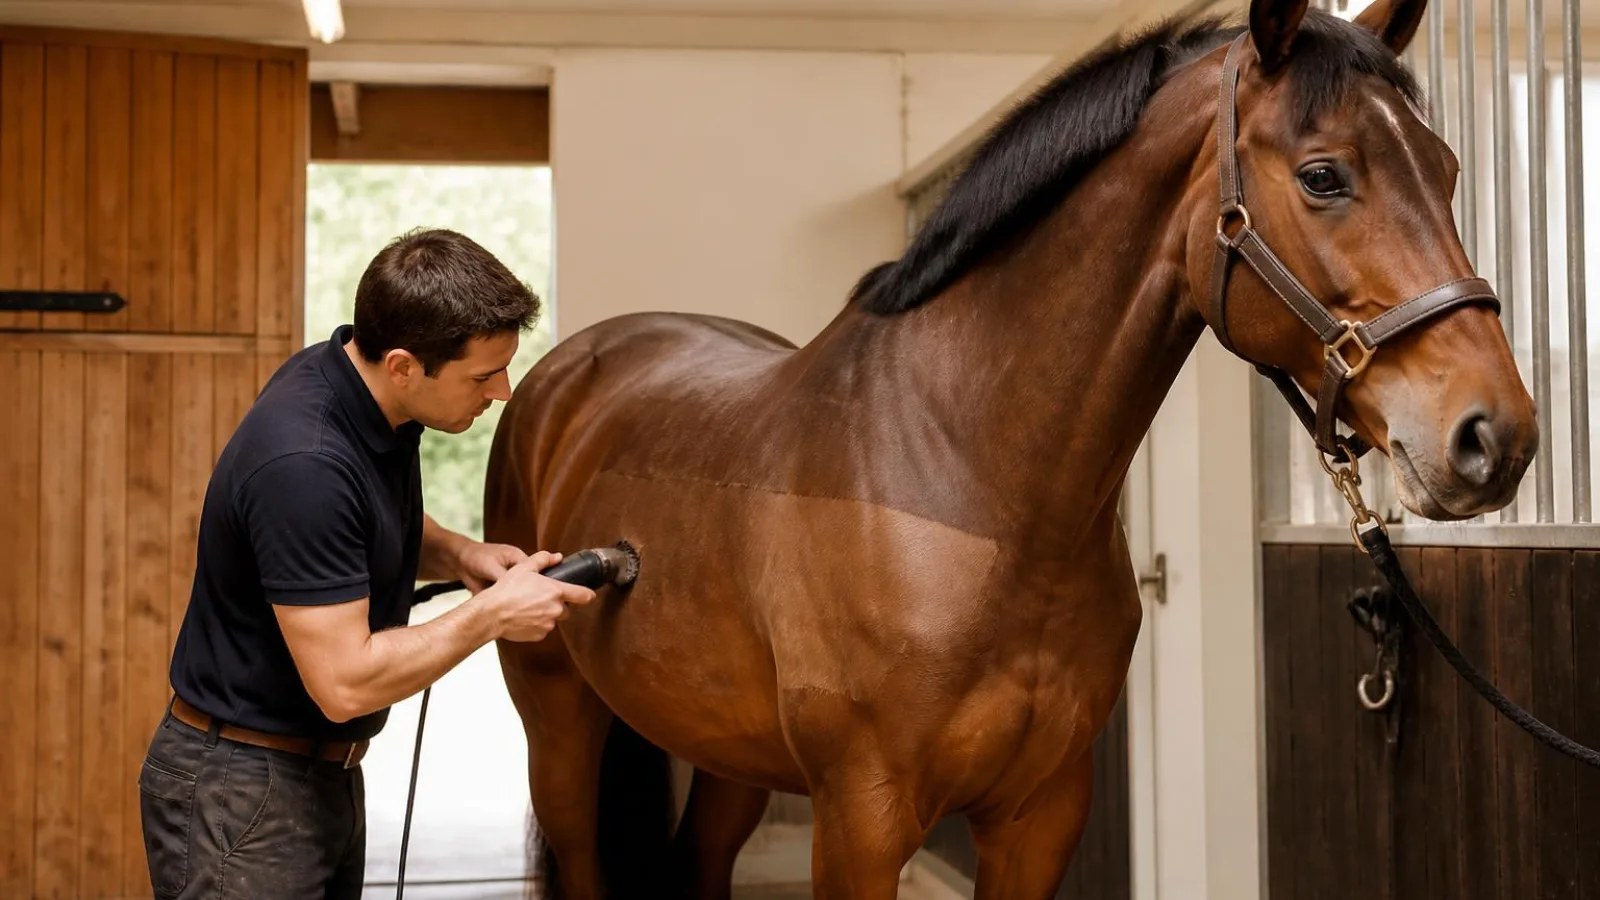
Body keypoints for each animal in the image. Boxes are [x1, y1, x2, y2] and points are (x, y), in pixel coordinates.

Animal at [480, 0, 1538, 893]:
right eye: (1324, 176)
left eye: (1447, 171)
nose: (1498, 436)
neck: (974, 490)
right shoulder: (862, 820)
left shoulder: (1040, 814)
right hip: (557, 722)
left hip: (727, 753)